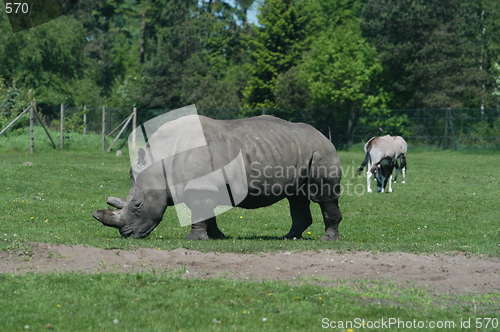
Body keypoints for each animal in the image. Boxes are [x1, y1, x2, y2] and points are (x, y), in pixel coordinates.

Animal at [92, 115, 344, 240]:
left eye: (137, 205)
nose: (126, 234)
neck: (159, 164)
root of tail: (325, 136)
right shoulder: (206, 187)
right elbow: (207, 213)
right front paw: (216, 237)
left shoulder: (200, 186)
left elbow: (199, 212)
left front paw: (195, 240)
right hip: (299, 150)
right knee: (296, 198)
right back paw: (289, 238)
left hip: (321, 152)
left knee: (323, 198)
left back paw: (328, 239)